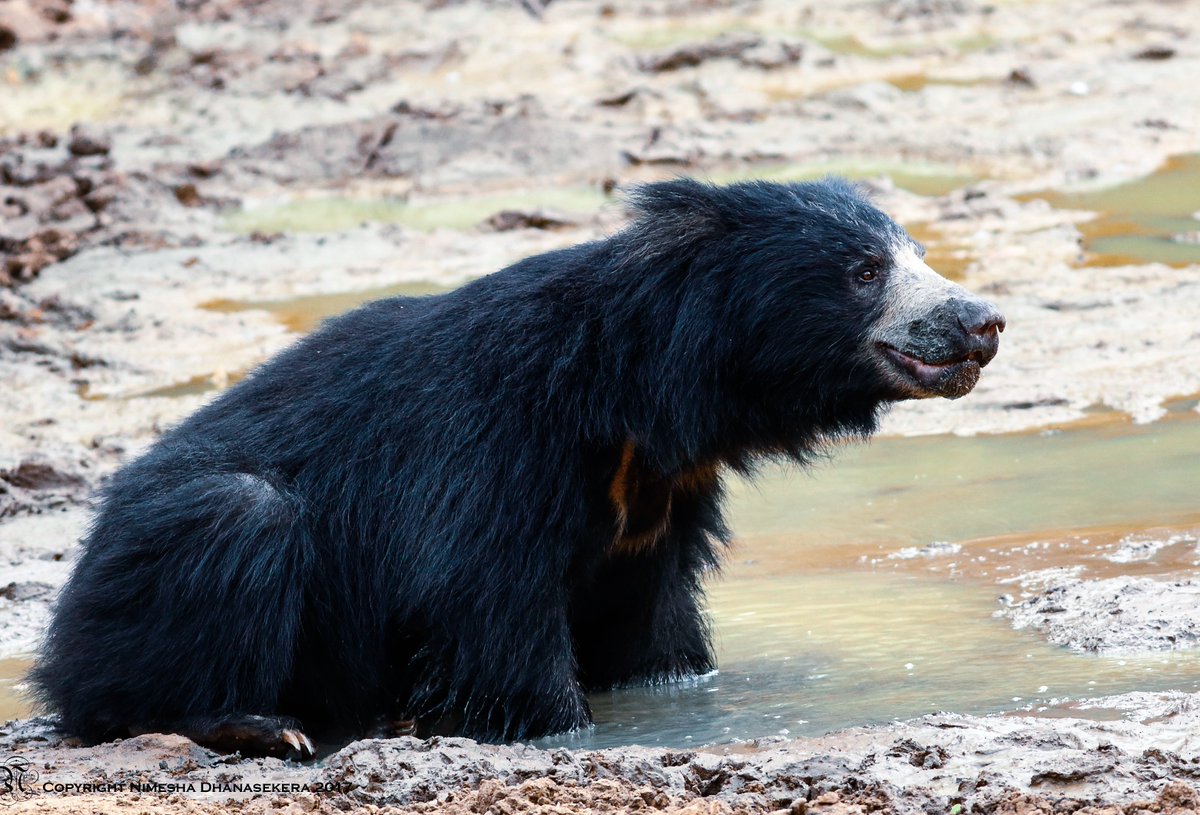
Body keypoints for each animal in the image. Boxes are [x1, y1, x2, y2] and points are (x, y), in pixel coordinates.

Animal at [30, 180, 1003, 758]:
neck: (635, 396)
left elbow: (653, 631)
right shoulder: (490, 447)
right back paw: (258, 725)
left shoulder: (660, 496)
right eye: (865, 270)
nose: (982, 321)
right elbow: (489, 606)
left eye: (916, 255)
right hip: (155, 566)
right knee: (235, 523)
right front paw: (560, 732)